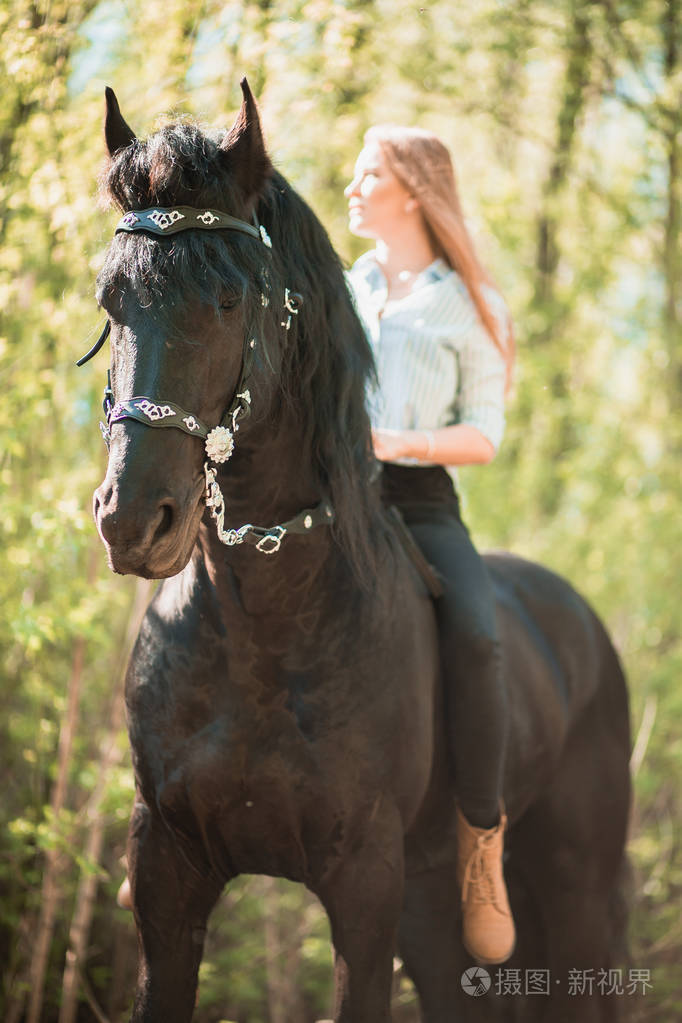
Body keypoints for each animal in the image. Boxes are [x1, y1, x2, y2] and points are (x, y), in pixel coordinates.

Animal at [82, 80, 631, 1023]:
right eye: (111, 299)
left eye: (227, 301)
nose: (134, 523)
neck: (263, 624)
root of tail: (586, 624)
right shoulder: (167, 874)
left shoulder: (364, 885)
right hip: (433, 911)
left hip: (574, 892)